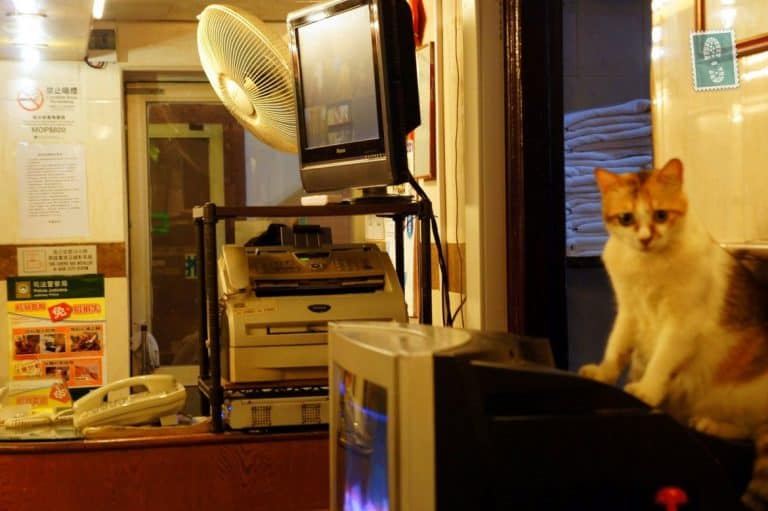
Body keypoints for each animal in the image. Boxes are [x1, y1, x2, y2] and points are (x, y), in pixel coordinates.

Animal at [580, 158, 768, 510]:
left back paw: (710, 423)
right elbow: (616, 348)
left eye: (660, 215)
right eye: (626, 218)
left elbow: (661, 361)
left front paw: (647, 390)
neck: (648, 266)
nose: (645, 238)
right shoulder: (628, 311)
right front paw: (603, 373)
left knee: (753, 430)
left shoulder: (681, 324)